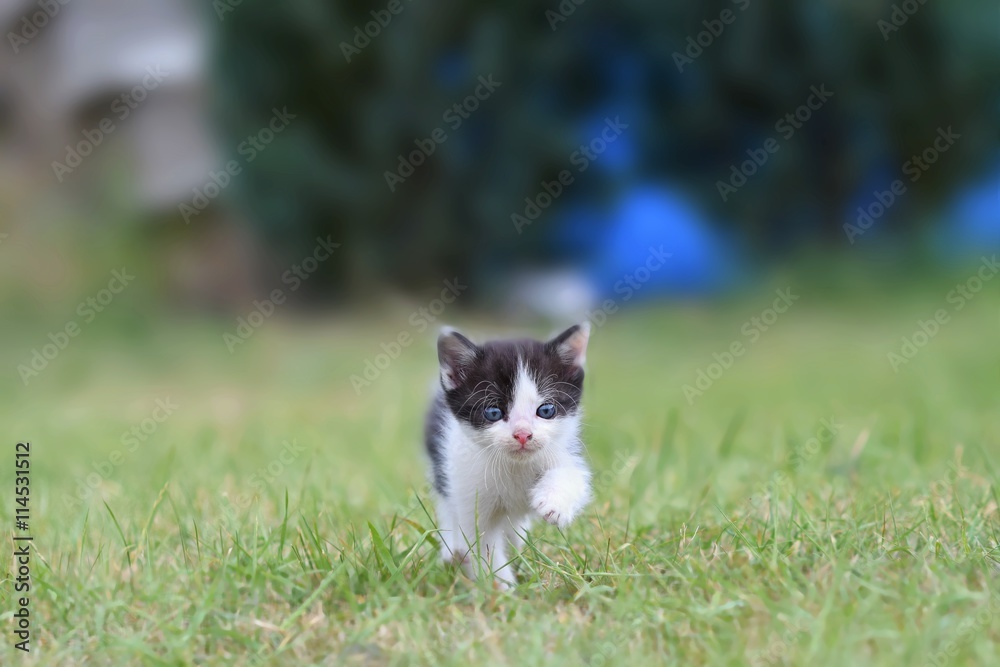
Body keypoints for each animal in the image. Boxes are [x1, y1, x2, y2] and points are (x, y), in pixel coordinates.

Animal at [424, 324, 592, 588]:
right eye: (493, 412)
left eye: (546, 410)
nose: (523, 434)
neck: (514, 466)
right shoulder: (466, 484)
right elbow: (480, 541)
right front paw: (500, 586)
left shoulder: (564, 450)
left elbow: (574, 475)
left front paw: (554, 502)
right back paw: (452, 552)